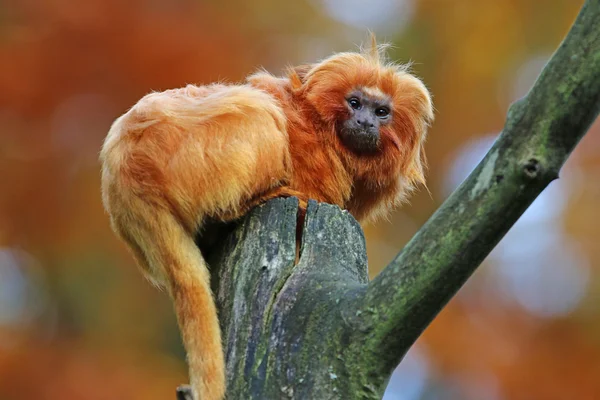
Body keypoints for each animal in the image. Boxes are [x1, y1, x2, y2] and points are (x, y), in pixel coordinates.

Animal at [101, 38, 434, 400]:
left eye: (381, 112)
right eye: (355, 103)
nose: (363, 121)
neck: (323, 129)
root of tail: (130, 177)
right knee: (260, 113)